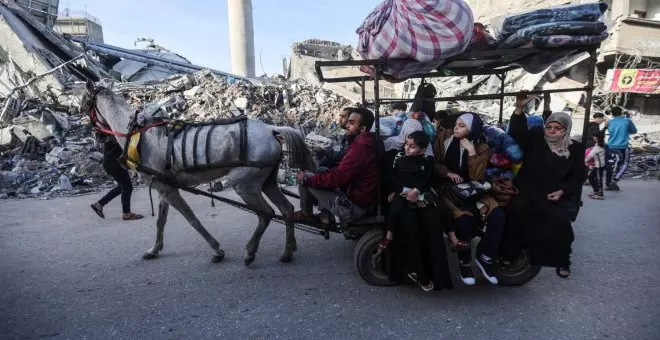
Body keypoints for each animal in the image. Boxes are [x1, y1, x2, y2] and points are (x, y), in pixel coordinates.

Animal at [81, 80, 316, 266]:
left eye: (86, 104)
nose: (97, 136)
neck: (137, 133)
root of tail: (271, 130)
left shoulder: (169, 190)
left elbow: (192, 219)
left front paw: (217, 249)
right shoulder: (164, 187)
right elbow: (161, 222)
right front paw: (155, 249)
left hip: (244, 184)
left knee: (266, 213)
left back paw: (250, 252)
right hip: (267, 181)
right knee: (286, 209)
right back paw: (287, 251)